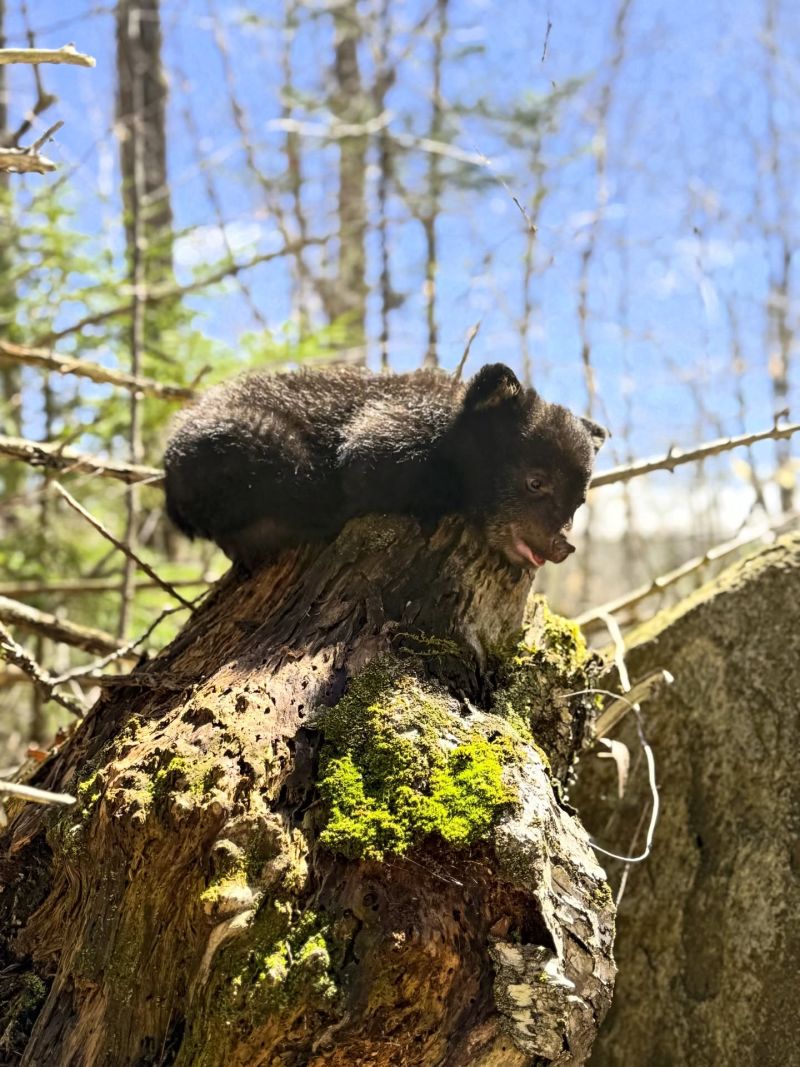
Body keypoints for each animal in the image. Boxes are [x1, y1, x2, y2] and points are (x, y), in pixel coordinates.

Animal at [163, 362, 607, 572]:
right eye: (536, 482)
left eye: (579, 503)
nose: (562, 546)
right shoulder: (395, 432)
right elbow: (367, 461)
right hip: (257, 444)